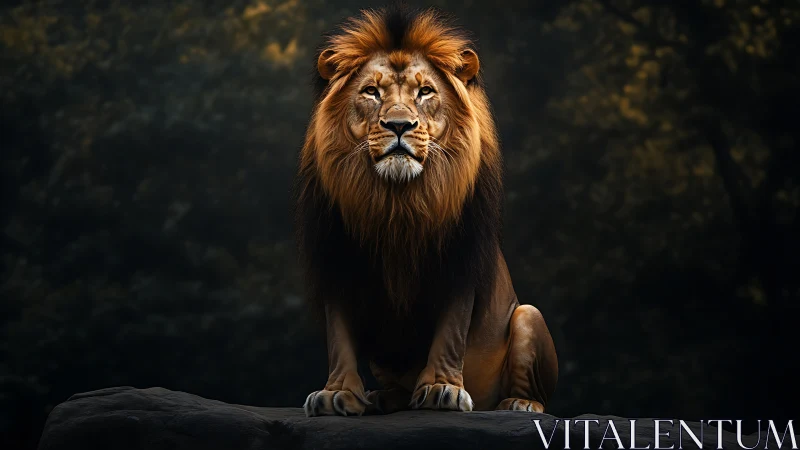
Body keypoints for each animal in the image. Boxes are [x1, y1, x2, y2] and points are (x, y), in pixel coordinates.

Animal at [295, 5, 558, 416]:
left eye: (425, 91)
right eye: (371, 91)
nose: (399, 125)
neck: (397, 202)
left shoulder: (460, 261)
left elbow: (450, 332)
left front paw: (441, 388)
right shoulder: (337, 261)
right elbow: (338, 337)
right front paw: (337, 393)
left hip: (528, 315)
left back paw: (519, 403)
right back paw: (383, 398)